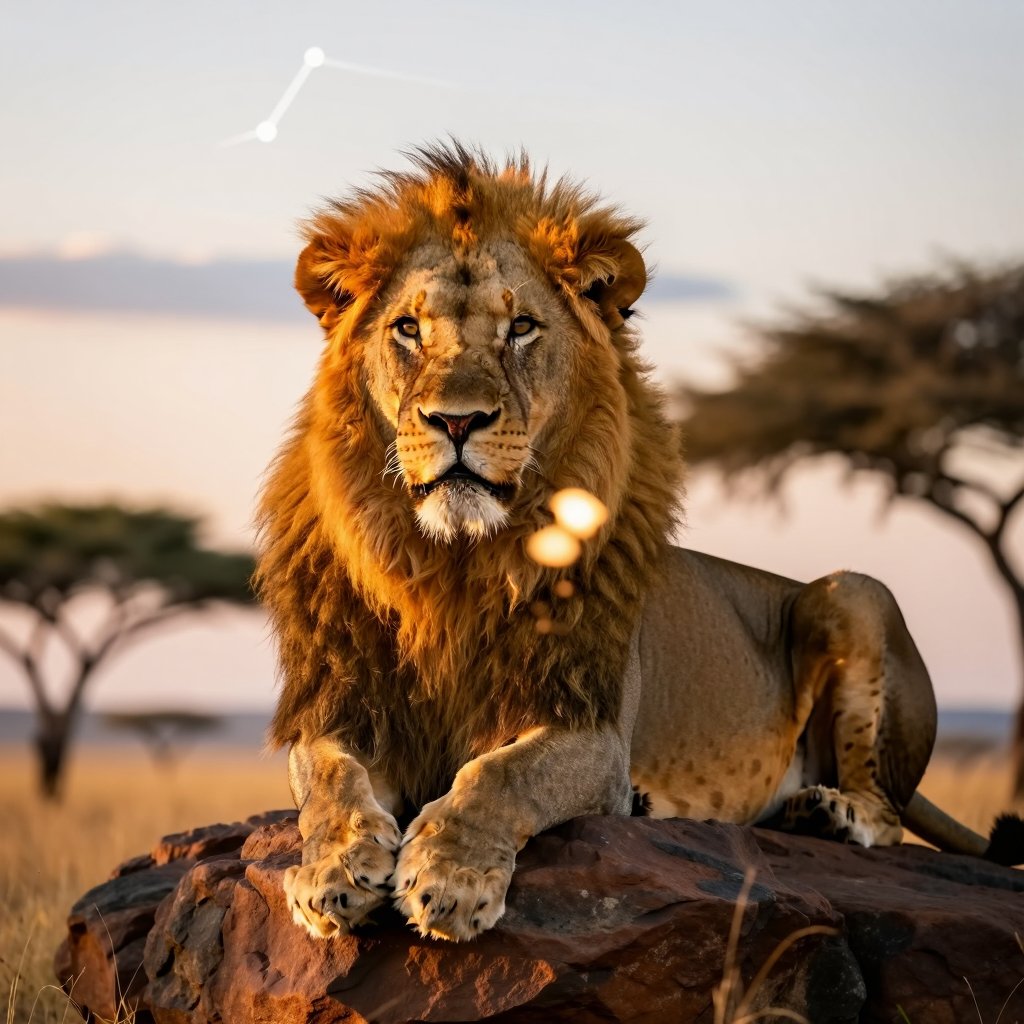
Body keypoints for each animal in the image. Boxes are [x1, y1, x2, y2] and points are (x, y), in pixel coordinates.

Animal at [257, 141, 1022, 943]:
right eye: (408, 329)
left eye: (521, 328)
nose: (456, 421)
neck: (458, 564)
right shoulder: (348, 706)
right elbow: (331, 779)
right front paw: (335, 871)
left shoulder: (593, 732)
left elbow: (499, 775)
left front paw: (450, 879)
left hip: (853, 593)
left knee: (889, 813)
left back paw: (829, 813)